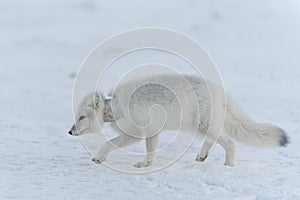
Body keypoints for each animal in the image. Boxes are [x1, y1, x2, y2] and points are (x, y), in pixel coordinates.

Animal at [68, 74, 288, 166]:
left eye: (82, 117)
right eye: (75, 117)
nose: (69, 132)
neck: (116, 109)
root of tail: (220, 90)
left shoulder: (136, 133)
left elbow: (108, 143)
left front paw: (99, 157)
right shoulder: (152, 132)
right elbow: (151, 151)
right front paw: (146, 164)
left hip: (202, 125)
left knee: (230, 143)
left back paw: (229, 165)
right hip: (201, 126)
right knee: (216, 140)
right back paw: (202, 156)